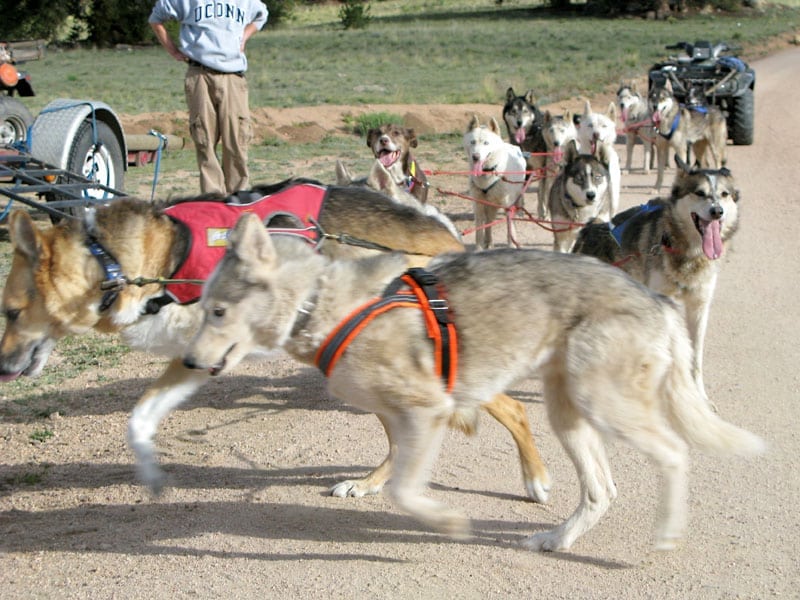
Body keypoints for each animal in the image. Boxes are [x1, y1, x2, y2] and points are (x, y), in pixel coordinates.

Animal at [0, 182, 552, 502]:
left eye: (9, 311)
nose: (2, 368)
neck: (124, 263)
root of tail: (443, 233)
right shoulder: (193, 357)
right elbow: (139, 418)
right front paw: (150, 470)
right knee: (403, 439)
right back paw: (371, 483)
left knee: (513, 410)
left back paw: (536, 481)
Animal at [186, 213, 764, 552]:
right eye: (201, 305)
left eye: (218, 311)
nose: (189, 361)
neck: (323, 302)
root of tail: (656, 300)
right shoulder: (401, 411)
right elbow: (394, 466)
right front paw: (371, 485)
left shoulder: (429, 409)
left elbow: (407, 490)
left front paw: (444, 523)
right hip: (569, 411)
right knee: (602, 490)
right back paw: (559, 538)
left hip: (604, 404)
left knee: (673, 453)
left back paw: (664, 530)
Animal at [460, 115, 528, 248]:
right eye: (473, 142)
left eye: (486, 143)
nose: (475, 157)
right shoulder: (478, 205)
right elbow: (479, 232)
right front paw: (479, 248)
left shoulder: (507, 205)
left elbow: (510, 229)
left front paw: (511, 246)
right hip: (490, 205)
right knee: (489, 222)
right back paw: (489, 243)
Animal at [576, 157, 736, 396]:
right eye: (700, 192)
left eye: (724, 194)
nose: (717, 211)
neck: (688, 252)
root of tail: (591, 227)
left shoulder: (699, 307)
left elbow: (695, 358)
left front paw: (699, 395)